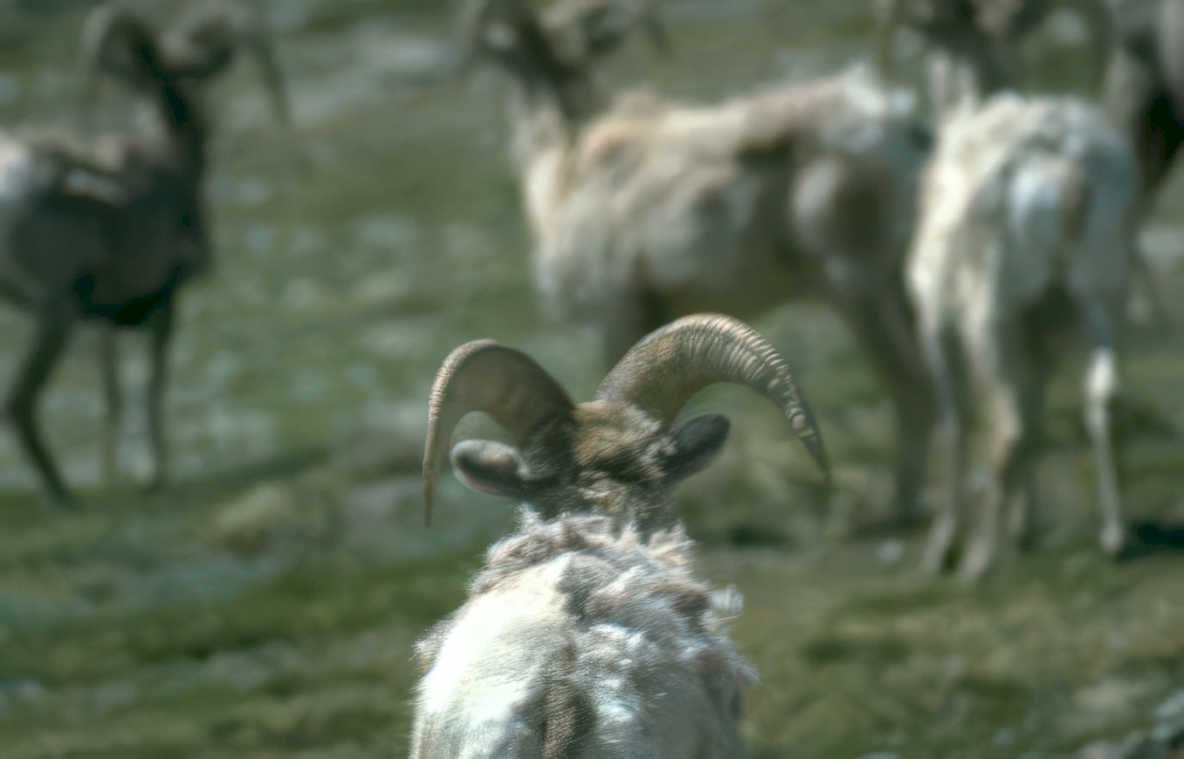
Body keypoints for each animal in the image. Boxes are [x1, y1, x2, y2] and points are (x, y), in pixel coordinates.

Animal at [0, 3, 287, 508]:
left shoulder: (104, 321)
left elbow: (112, 396)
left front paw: (115, 477)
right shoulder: (164, 302)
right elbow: (151, 389)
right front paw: (152, 478)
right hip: (55, 314)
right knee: (17, 403)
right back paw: (65, 497)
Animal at [464, 0, 936, 523]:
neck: (566, 166)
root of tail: (898, 126)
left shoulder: (616, 317)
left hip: (859, 292)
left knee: (915, 389)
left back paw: (899, 510)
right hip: (899, 287)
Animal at [907, 93, 1137, 579]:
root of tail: (1068, 177)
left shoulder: (936, 322)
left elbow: (956, 420)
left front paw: (943, 547)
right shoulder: (1039, 335)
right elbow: (1035, 409)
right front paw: (1024, 526)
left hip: (991, 311)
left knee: (1007, 428)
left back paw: (977, 560)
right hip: (1102, 290)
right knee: (1103, 395)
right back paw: (1115, 538)